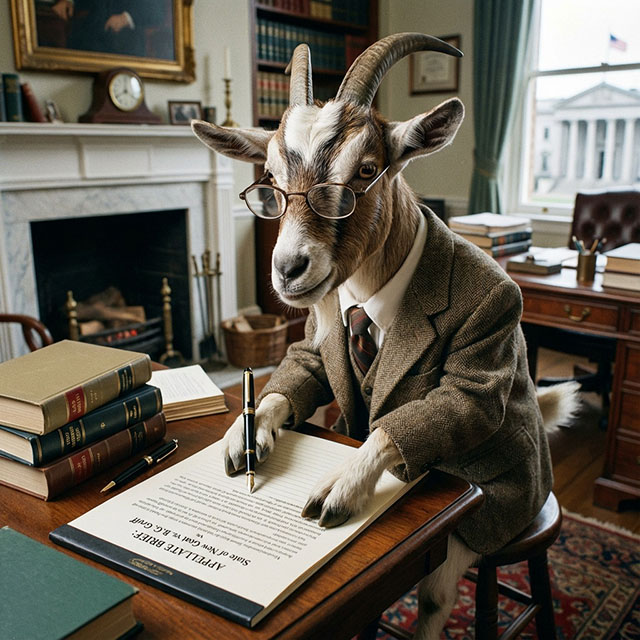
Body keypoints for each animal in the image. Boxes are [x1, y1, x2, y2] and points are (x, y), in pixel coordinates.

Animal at [192, 33, 578, 639]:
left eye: (365, 168)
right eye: (269, 183)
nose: (288, 270)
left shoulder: (483, 344)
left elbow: (449, 409)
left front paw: (341, 485)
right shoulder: (311, 343)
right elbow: (295, 376)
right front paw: (245, 436)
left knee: (437, 593)